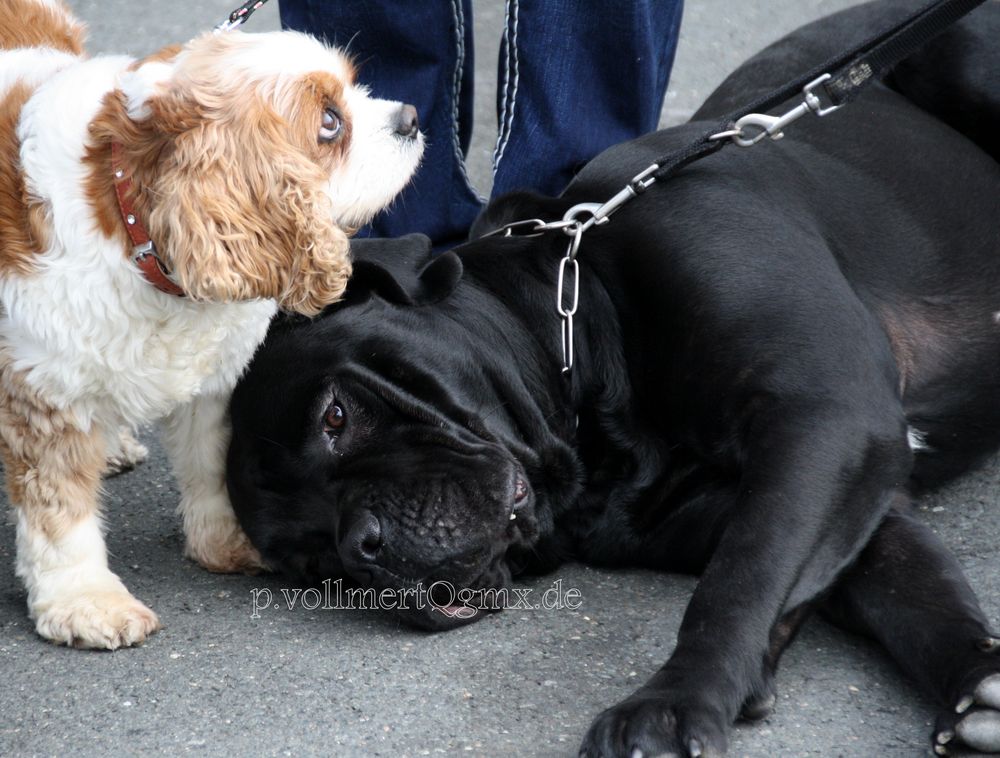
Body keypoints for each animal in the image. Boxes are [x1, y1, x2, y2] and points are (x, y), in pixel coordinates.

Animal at [0, 2, 424, 652]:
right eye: (329, 123)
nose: (411, 118)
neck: (136, 229)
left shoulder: (214, 375)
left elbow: (210, 462)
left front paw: (229, 542)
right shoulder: (44, 390)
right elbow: (60, 511)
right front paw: (86, 603)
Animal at [225, 2, 1000, 756]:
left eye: (336, 416)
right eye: (316, 563)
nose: (365, 546)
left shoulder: (828, 418)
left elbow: (743, 576)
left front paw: (673, 703)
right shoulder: (829, 479)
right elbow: (899, 587)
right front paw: (978, 679)